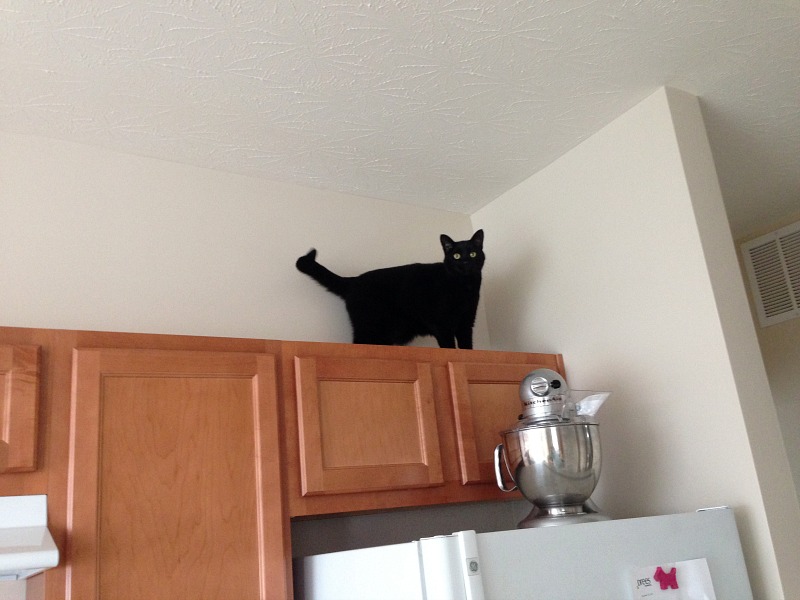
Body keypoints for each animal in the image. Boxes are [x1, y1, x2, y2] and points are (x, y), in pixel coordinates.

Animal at [296, 231, 484, 352]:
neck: (465, 286)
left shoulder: (467, 322)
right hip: (369, 327)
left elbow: (466, 345)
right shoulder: (441, 323)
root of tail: (354, 280)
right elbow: (448, 345)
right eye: (456, 256)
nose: (466, 262)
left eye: (473, 254)